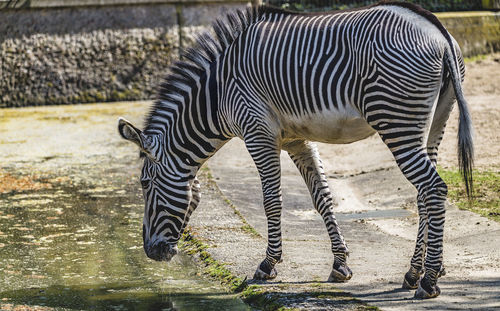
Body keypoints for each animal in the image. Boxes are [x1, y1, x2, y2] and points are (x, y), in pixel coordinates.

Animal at [117, 1, 472, 300]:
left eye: (145, 184)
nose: (150, 252)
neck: (216, 96)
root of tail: (437, 31)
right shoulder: (296, 139)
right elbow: (322, 196)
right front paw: (340, 264)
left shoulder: (257, 134)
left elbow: (271, 201)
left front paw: (268, 265)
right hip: (435, 120)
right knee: (424, 193)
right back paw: (416, 271)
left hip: (397, 121)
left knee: (434, 188)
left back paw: (429, 281)